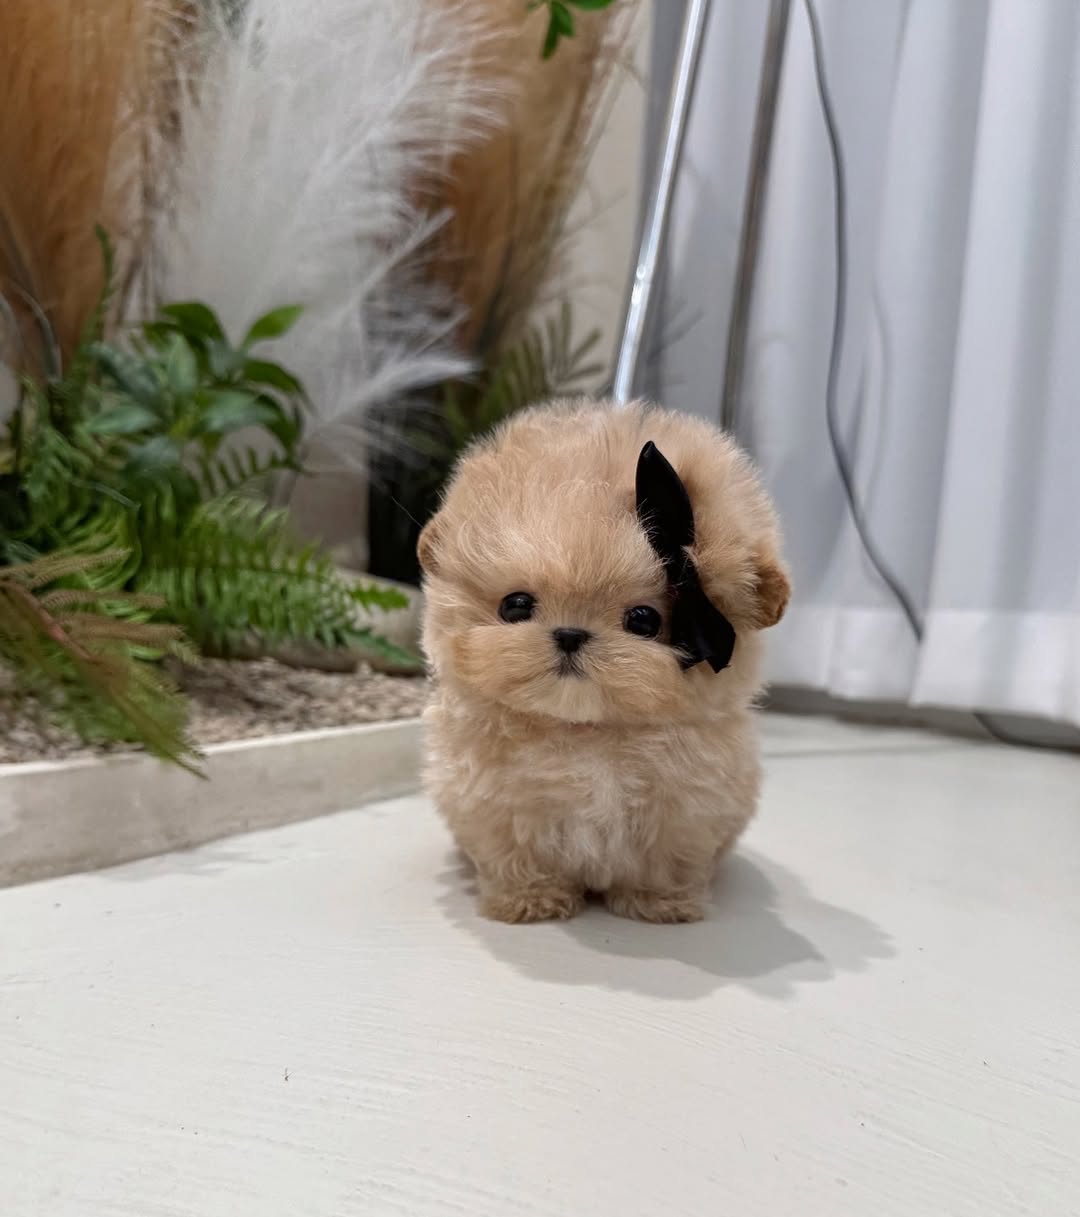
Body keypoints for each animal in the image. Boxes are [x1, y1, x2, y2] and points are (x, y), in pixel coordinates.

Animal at [418, 398, 789, 923]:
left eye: (644, 620)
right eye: (516, 605)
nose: (571, 634)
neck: (586, 731)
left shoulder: (685, 813)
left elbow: (666, 861)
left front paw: (658, 904)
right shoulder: (495, 806)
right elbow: (516, 854)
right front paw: (531, 899)